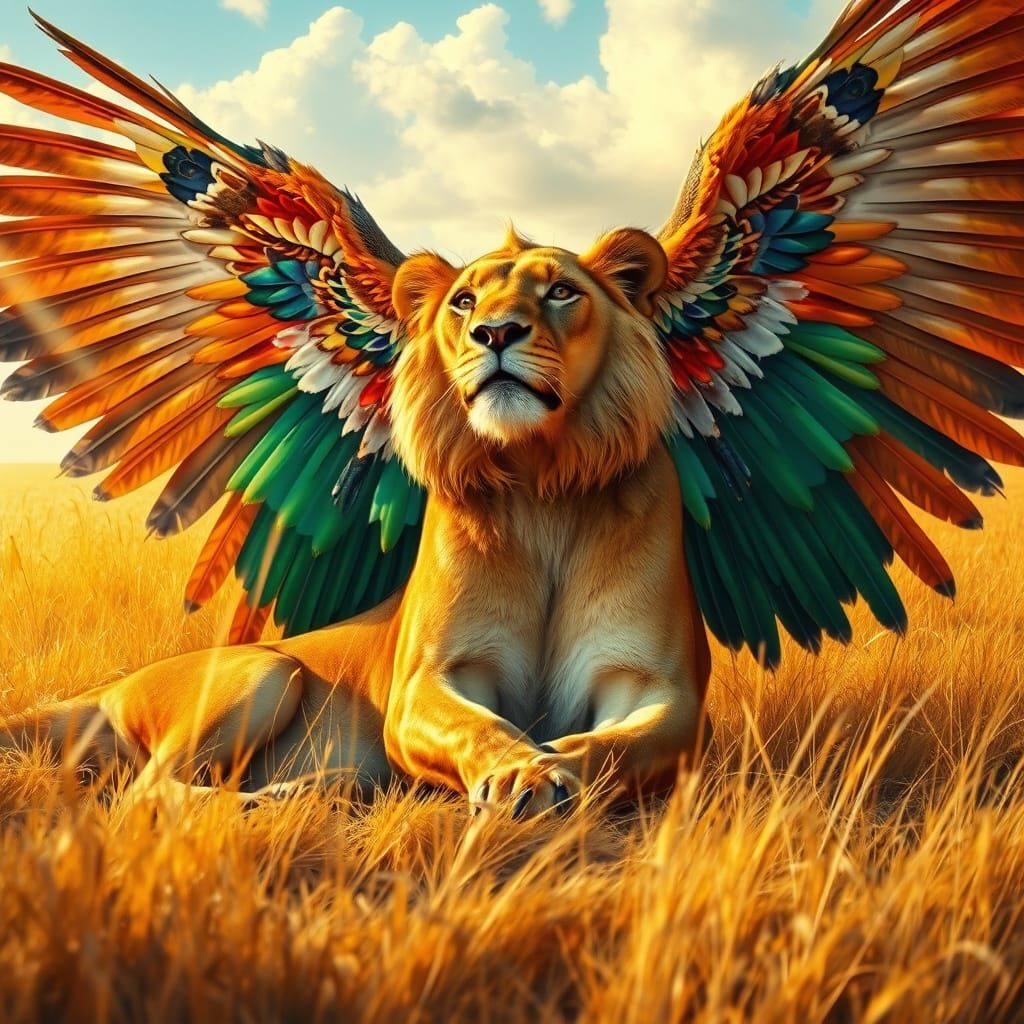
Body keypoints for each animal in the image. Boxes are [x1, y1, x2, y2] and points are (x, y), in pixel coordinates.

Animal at [1, 227, 712, 817]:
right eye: (464, 302)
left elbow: (610, 747)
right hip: (262, 671)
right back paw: (283, 799)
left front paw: (545, 770)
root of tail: (110, 686)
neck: (541, 484)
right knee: (148, 791)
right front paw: (522, 774)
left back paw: (323, 789)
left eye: (562, 291)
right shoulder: (425, 681)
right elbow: (480, 726)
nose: (495, 333)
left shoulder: (654, 686)